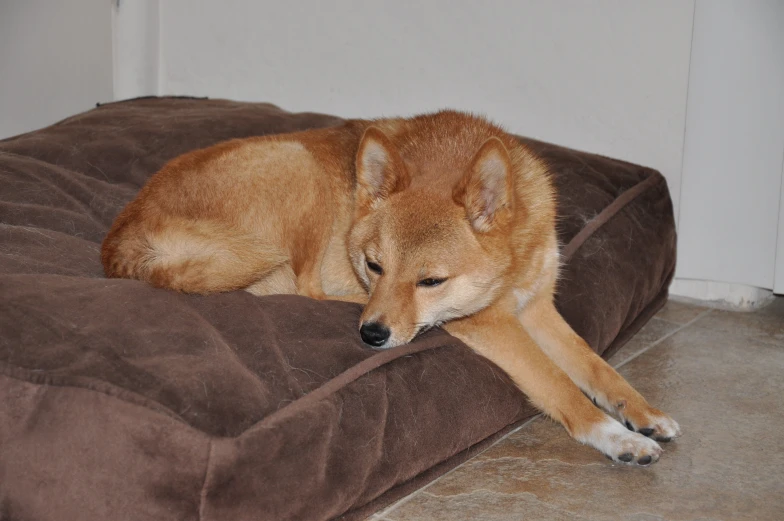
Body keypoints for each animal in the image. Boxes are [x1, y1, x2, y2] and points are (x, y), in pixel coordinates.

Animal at [102, 110, 680, 464]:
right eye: (373, 265)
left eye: (431, 280)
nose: (371, 335)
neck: (512, 262)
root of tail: (126, 235)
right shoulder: (492, 323)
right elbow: (558, 383)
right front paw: (615, 438)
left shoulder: (537, 308)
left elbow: (596, 366)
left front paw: (644, 414)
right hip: (297, 170)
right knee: (303, 288)